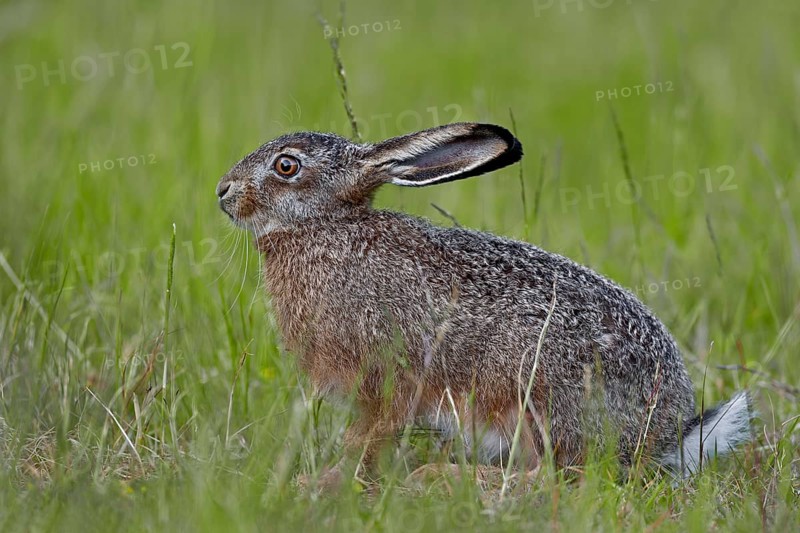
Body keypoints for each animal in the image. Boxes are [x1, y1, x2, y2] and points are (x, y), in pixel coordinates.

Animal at [216, 122, 752, 488]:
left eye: (287, 166)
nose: (223, 192)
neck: (324, 228)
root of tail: (663, 434)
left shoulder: (385, 380)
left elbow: (366, 440)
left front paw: (324, 483)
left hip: (538, 399)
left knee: (556, 478)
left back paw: (444, 477)